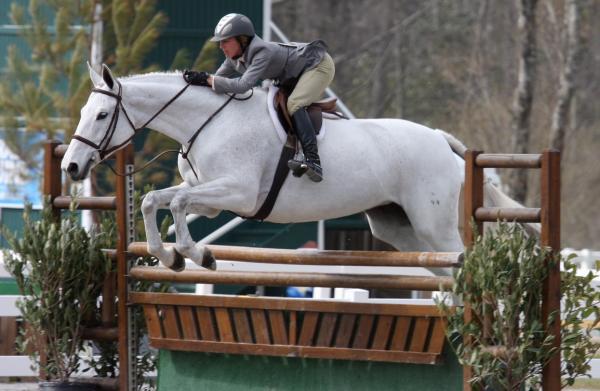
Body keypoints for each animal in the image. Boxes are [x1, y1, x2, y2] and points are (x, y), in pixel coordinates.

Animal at [62, 66, 516, 276]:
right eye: (85, 111)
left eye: (101, 115)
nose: (71, 166)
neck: (206, 121)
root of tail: (442, 141)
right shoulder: (210, 197)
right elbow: (155, 200)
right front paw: (169, 256)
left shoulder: (238, 193)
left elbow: (175, 203)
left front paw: (198, 255)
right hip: (400, 230)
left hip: (432, 225)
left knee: (461, 261)